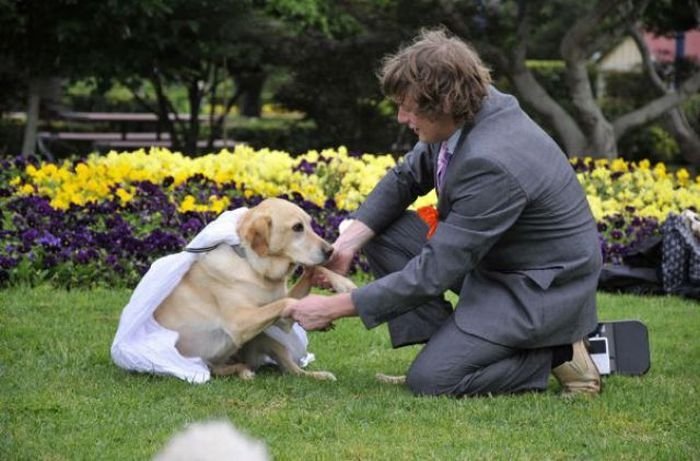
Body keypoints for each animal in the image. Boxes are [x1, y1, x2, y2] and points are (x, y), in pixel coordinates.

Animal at [157, 198, 356, 380]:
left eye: (310, 224)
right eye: (298, 227)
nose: (331, 251)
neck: (254, 267)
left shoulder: (281, 320)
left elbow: (313, 269)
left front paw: (343, 284)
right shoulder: (240, 322)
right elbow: (287, 301)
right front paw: (314, 312)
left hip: (266, 339)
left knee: (292, 370)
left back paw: (317, 375)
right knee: (218, 370)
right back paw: (242, 371)